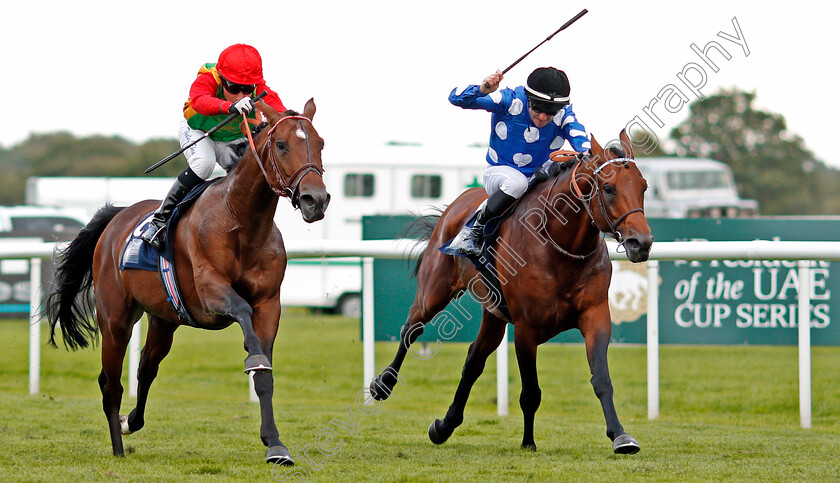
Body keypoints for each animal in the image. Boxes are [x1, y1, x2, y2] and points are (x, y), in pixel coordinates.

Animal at [44, 100, 330, 466]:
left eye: (320, 143)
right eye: (281, 144)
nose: (315, 200)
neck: (241, 221)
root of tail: (117, 218)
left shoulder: (268, 304)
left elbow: (264, 376)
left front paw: (276, 446)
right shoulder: (209, 291)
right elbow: (242, 314)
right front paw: (252, 357)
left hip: (164, 320)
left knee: (146, 369)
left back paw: (129, 421)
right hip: (115, 319)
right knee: (111, 383)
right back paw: (118, 447)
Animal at [370, 130, 652, 456]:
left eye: (643, 187)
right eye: (608, 188)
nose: (641, 243)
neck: (560, 244)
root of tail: (460, 201)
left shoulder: (595, 315)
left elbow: (602, 379)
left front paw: (621, 436)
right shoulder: (526, 329)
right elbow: (530, 392)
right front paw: (528, 442)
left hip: (493, 315)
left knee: (473, 361)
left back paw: (444, 426)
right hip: (434, 290)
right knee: (411, 328)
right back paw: (383, 384)